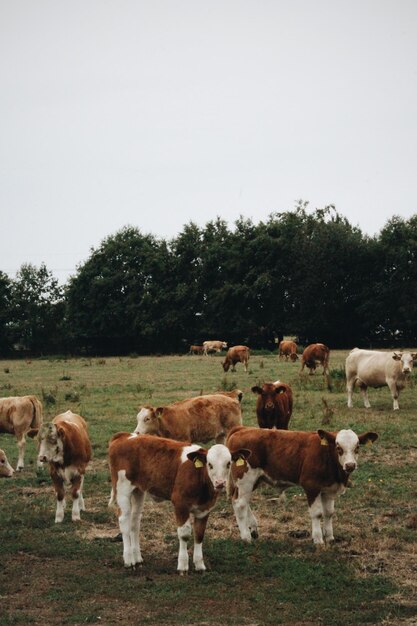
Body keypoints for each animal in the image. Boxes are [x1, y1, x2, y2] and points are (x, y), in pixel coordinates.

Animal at [107, 434, 247, 572]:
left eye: (228, 463)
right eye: (210, 464)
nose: (220, 483)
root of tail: (123, 436)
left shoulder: (205, 509)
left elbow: (199, 534)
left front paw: (199, 565)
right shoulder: (180, 504)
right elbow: (184, 534)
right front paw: (183, 565)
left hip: (138, 490)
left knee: (135, 522)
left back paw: (137, 559)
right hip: (122, 489)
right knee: (124, 521)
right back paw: (129, 560)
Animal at [226, 426, 378, 544]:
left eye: (357, 447)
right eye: (338, 447)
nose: (350, 465)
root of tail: (242, 429)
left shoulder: (329, 489)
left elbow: (329, 513)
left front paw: (330, 537)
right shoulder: (311, 486)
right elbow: (317, 513)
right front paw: (318, 539)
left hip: (253, 480)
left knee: (244, 502)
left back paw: (253, 529)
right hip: (246, 479)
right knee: (240, 504)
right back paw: (246, 537)